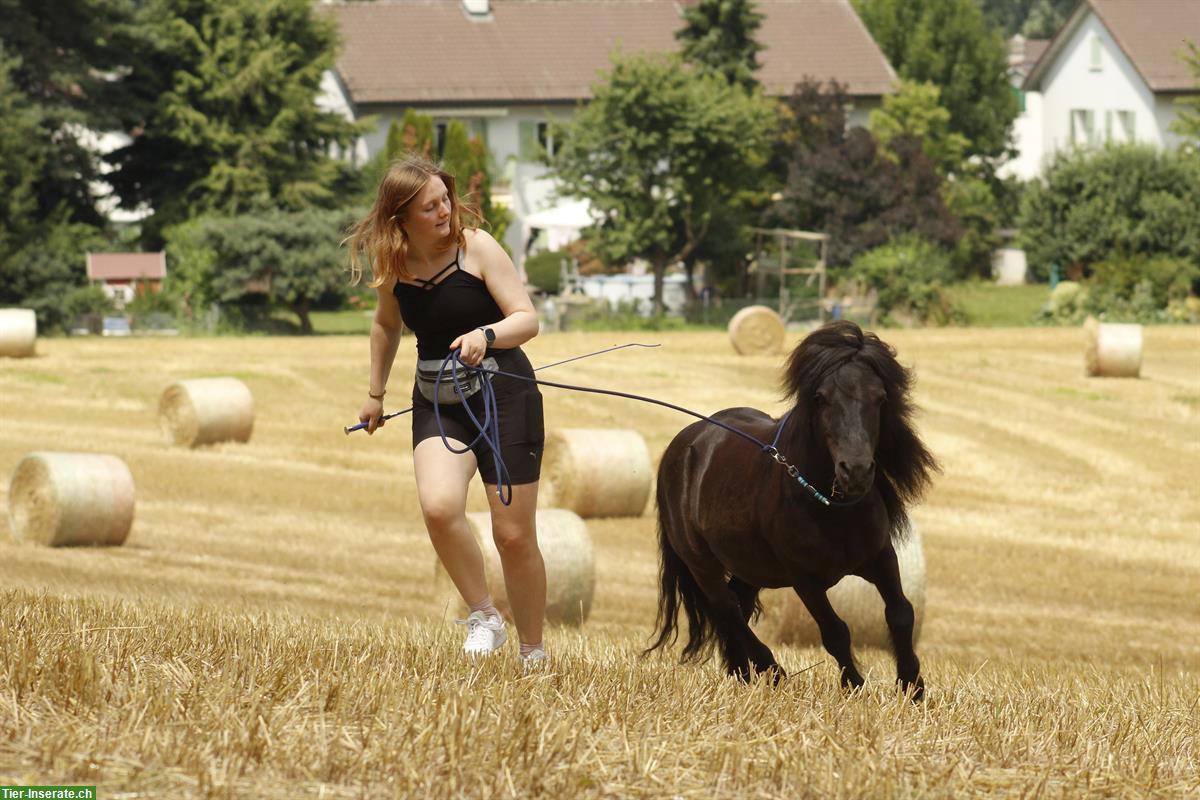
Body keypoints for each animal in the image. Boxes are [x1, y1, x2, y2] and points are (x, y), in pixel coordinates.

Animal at [648, 321, 936, 695]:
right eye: (821, 398)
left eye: (881, 398)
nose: (856, 471)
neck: (833, 508)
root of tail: (683, 445)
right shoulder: (804, 578)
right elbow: (835, 631)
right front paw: (855, 685)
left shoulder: (882, 557)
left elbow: (901, 614)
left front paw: (912, 687)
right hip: (701, 564)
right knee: (727, 610)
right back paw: (771, 670)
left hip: (748, 566)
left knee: (734, 607)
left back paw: (741, 673)